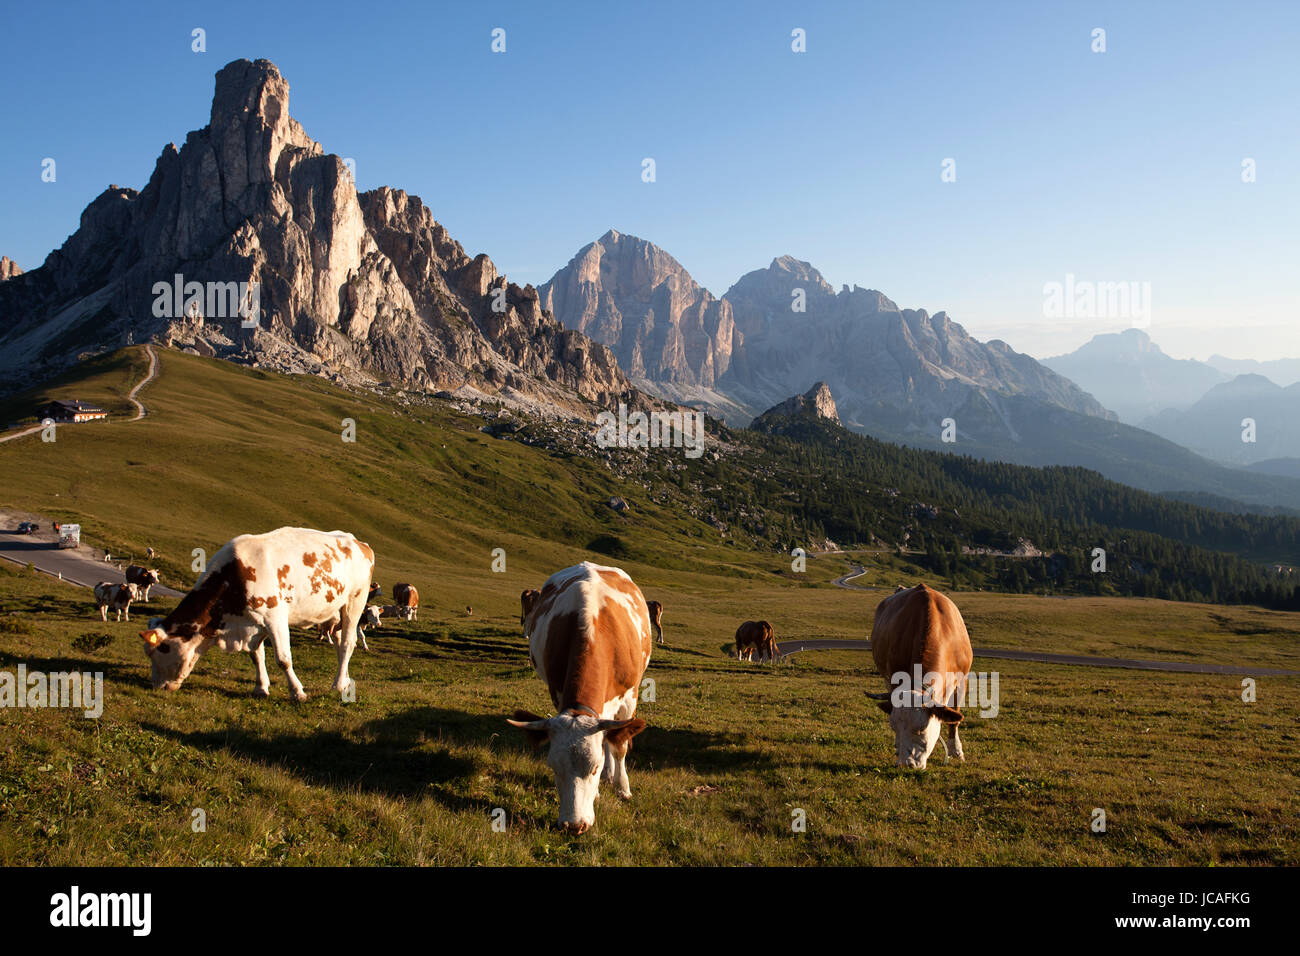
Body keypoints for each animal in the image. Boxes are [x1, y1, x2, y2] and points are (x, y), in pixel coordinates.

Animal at [138, 527, 375, 702]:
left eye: (162, 649)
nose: (157, 686)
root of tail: (359, 543)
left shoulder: (275, 617)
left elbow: (283, 659)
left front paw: (297, 692)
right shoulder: (253, 622)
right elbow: (255, 656)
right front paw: (261, 688)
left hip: (355, 601)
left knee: (347, 644)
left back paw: (337, 685)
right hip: (334, 611)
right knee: (339, 643)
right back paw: (344, 679)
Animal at [508, 562, 652, 835]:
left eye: (593, 768)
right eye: (553, 767)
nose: (573, 825)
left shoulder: (629, 698)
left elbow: (619, 746)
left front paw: (622, 787)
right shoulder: (558, 694)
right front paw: (598, 792)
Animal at [865, 584, 973, 770]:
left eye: (922, 728)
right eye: (893, 727)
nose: (905, 764)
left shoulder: (961, 680)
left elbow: (955, 718)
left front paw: (956, 751)